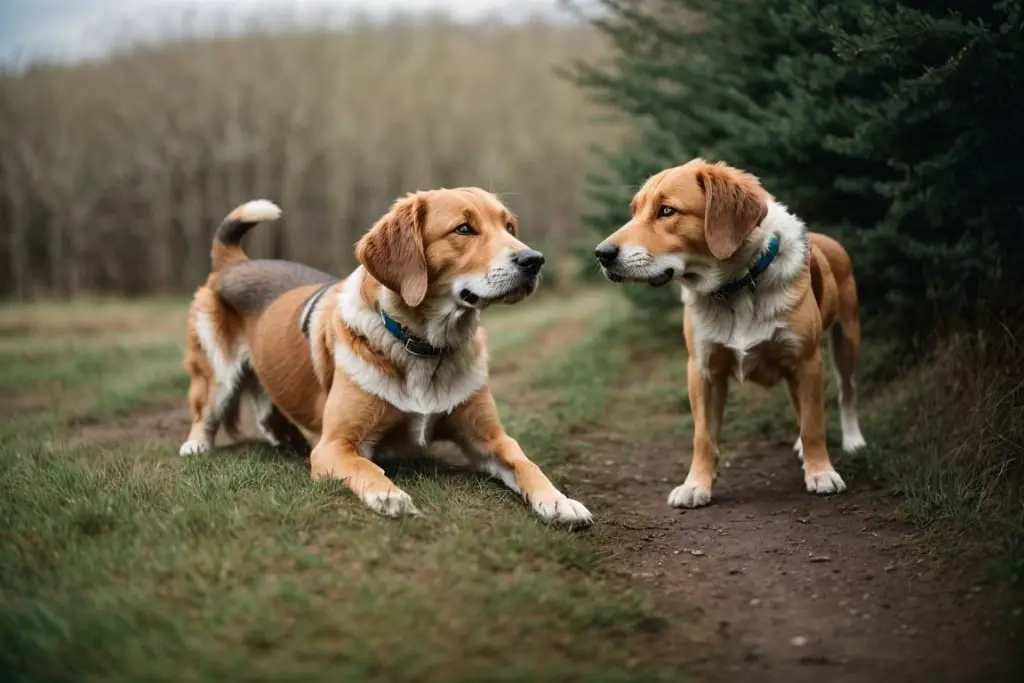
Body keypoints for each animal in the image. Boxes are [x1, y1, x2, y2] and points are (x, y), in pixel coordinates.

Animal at [182, 189, 593, 528]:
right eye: (463, 229)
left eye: (508, 226)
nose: (534, 260)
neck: (426, 347)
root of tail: (234, 261)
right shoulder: (336, 446)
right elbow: (367, 467)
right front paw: (389, 495)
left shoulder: (490, 439)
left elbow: (526, 463)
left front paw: (560, 501)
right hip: (217, 374)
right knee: (206, 414)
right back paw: (197, 447)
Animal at [593, 156, 864, 507]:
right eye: (634, 210)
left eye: (666, 211)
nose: (601, 254)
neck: (737, 287)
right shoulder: (703, 370)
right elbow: (703, 437)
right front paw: (696, 484)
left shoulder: (806, 361)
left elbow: (814, 424)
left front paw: (821, 472)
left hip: (845, 342)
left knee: (847, 391)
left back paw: (853, 441)